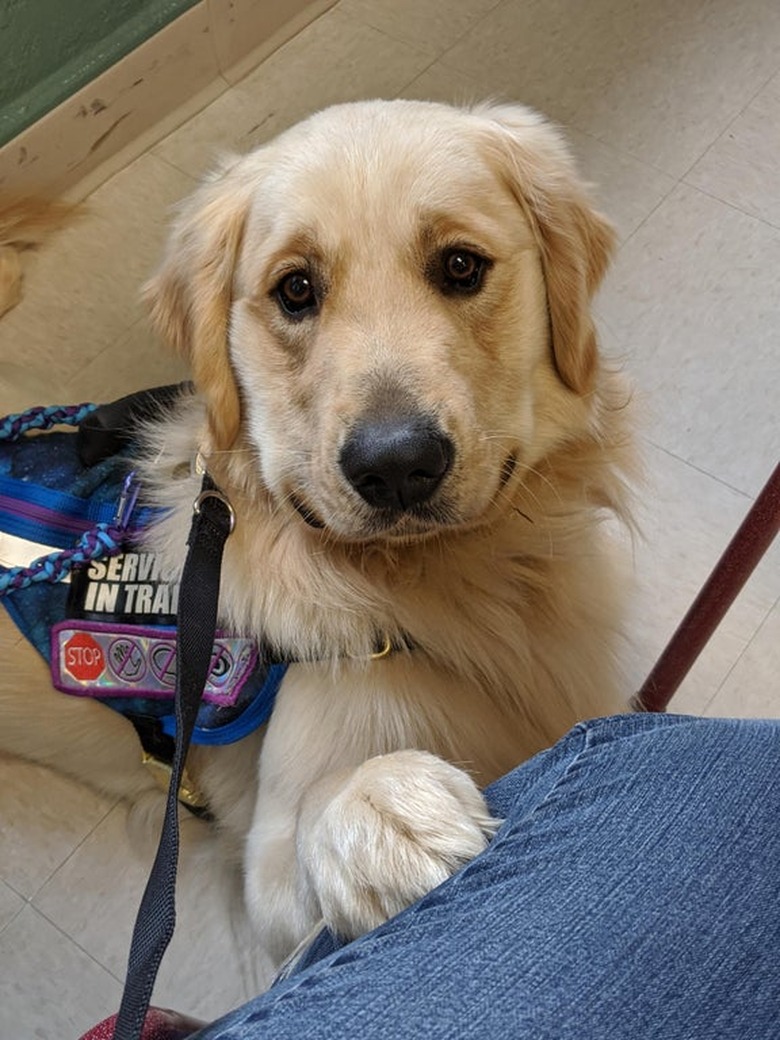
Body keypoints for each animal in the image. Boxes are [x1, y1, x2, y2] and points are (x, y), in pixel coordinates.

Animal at [0, 101, 636, 969]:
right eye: (295, 289)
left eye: (461, 267)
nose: (397, 465)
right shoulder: (272, 866)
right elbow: (311, 827)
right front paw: (378, 805)